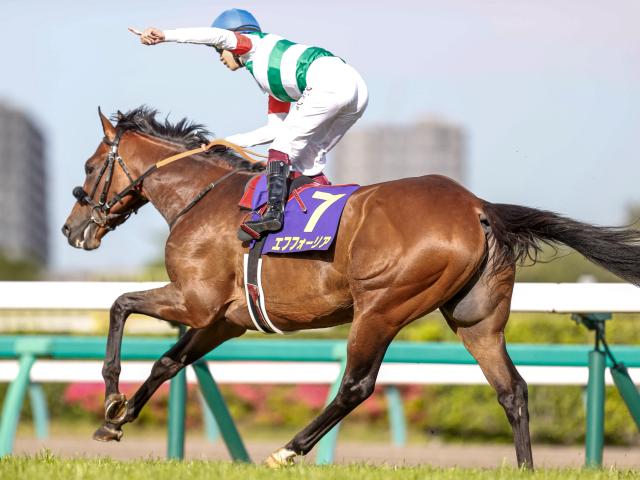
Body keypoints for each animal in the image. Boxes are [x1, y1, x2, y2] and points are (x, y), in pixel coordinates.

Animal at [62, 107, 640, 468]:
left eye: (90, 167)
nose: (72, 230)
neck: (203, 197)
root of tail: (479, 207)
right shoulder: (225, 319)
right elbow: (168, 362)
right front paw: (116, 421)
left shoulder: (197, 301)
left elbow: (119, 305)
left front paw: (111, 396)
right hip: (476, 319)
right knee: (512, 390)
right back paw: (524, 466)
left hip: (381, 308)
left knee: (356, 387)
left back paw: (287, 451)